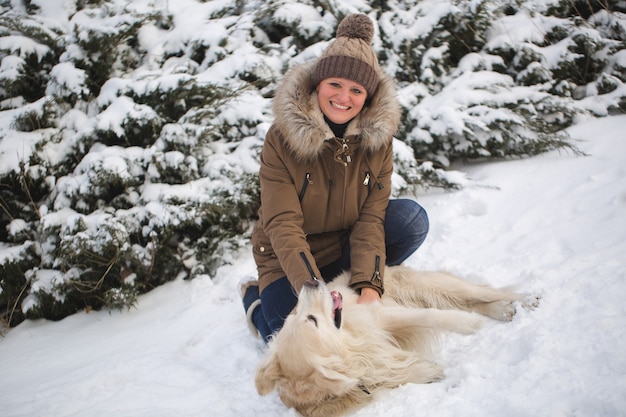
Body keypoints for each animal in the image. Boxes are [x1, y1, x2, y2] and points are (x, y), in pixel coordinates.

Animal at [254, 264, 528, 414]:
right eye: (310, 319)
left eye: (298, 316)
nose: (309, 281)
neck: (351, 351)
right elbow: (399, 372)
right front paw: (428, 371)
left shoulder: (380, 317)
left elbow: (431, 316)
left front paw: (467, 325)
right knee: (473, 301)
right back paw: (504, 310)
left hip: (430, 286)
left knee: (481, 292)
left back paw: (524, 299)